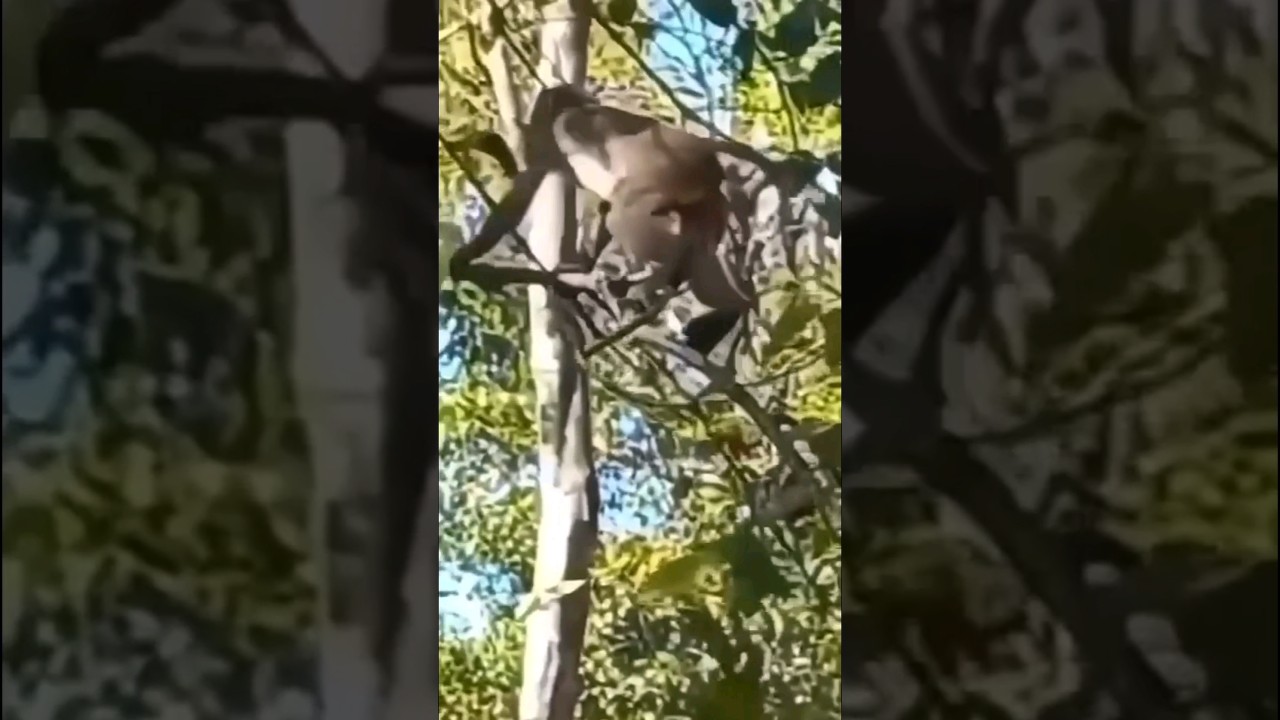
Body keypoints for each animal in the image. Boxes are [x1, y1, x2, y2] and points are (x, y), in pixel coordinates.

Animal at [450, 84, 755, 356]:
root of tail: (713, 173)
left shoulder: (565, 128)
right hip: (705, 208)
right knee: (699, 259)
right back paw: (726, 307)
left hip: (673, 175)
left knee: (626, 212)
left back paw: (648, 285)